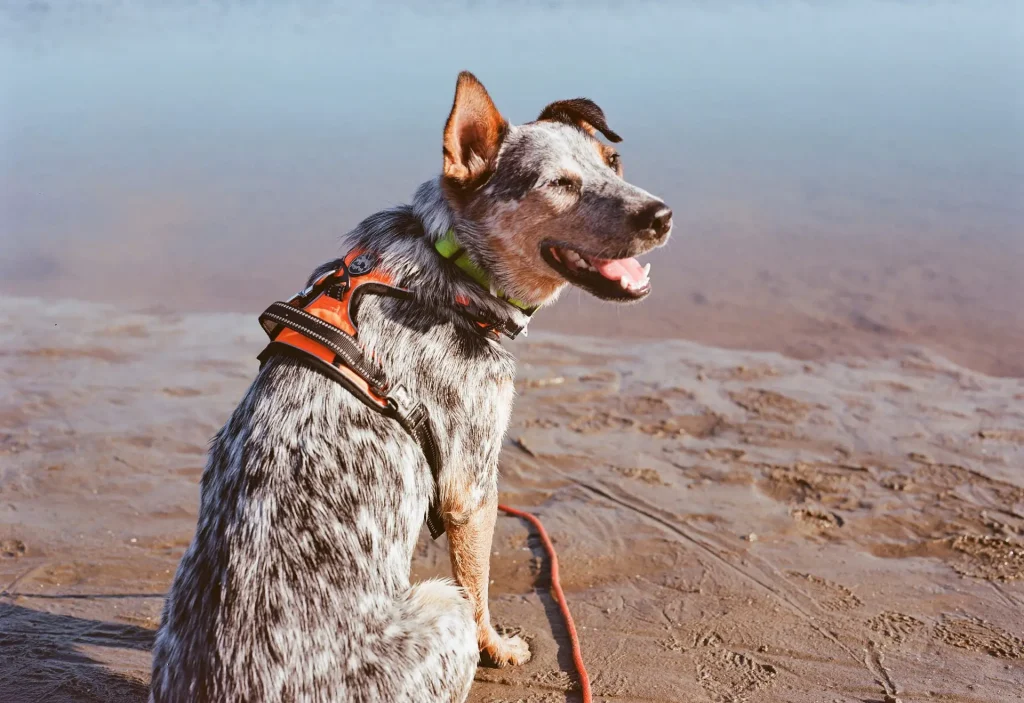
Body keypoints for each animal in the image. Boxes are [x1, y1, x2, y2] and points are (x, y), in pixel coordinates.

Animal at [146, 72, 671, 703]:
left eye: (613, 162)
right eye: (561, 184)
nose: (663, 216)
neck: (451, 267)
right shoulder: (473, 485)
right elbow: (480, 589)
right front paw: (499, 648)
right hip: (439, 603)